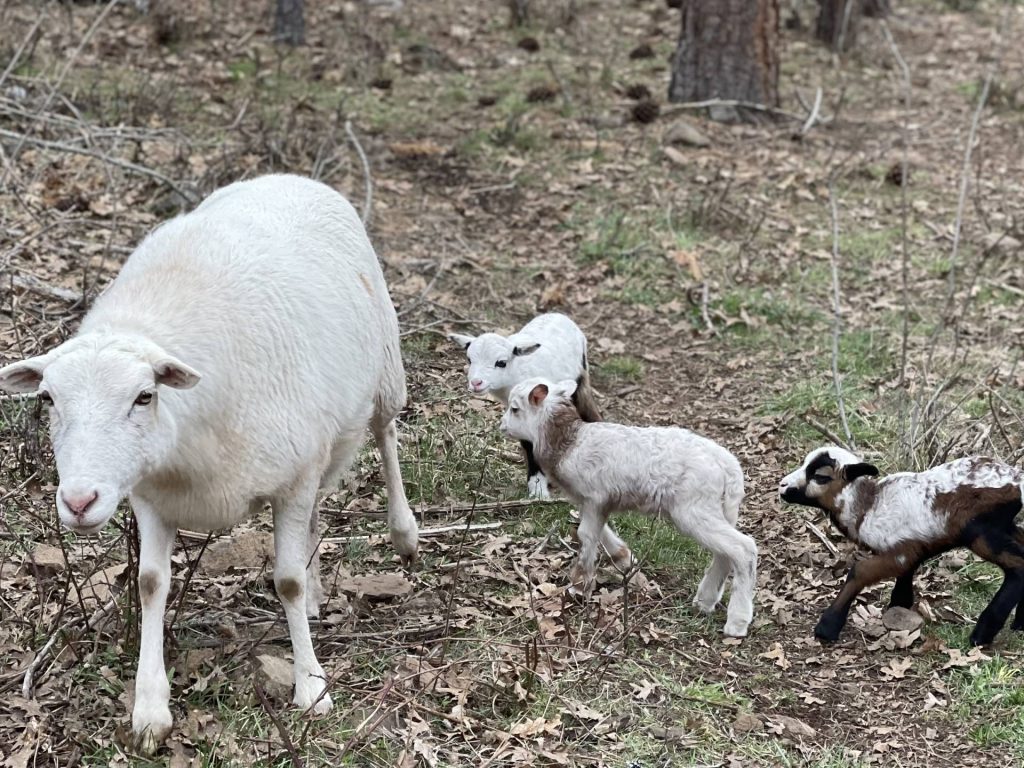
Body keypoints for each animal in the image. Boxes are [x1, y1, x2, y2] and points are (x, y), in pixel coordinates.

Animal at [0, 174, 420, 753]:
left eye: (145, 397)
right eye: (46, 399)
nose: (79, 501)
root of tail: (291, 177)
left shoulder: (289, 480)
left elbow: (286, 581)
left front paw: (312, 687)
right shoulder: (152, 496)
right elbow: (150, 583)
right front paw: (149, 708)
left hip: (384, 372)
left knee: (387, 435)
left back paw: (404, 534)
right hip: (321, 441)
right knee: (319, 508)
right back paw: (318, 595)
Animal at [500, 377, 758, 637]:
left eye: (515, 409)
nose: (502, 426)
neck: (568, 443)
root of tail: (729, 467)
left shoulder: (594, 496)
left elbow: (586, 535)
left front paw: (579, 586)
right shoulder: (593, 502)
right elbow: (599, 532)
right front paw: (625, 559)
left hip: (694, 508)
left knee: (743, 548)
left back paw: (737, 623)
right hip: (719, 509)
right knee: (725, 552)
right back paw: (705, 601)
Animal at [779, 445, 1024, 646]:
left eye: (820, 476)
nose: (782, 486)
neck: (866, 508)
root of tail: (1017, 481)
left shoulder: (897, 553)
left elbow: (859, 571)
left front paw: (826, 628)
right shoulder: (913, 549)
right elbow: (906, 575)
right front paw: (900, 605)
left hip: (981, 531)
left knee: (1018, 566)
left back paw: (981, 635)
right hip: (1004, 526)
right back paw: (1018, 624)